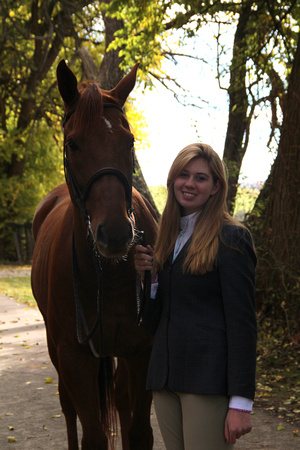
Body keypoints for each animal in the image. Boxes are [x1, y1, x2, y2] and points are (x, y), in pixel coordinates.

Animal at [31, 60, 158, 450]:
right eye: (73, 144)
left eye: (129, 141)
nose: (115, 233)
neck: (110, 274)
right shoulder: (74, 358)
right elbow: (93, 436)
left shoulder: (141, 351)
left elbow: (139, 432)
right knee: (68, 408)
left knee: (119, 399)